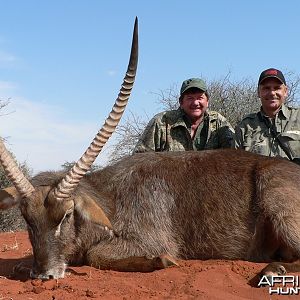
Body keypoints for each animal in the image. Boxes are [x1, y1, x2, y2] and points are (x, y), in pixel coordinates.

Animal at [0, 18, 300, 282]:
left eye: (65, 215)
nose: (45, 274)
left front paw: (160, 261)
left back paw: (272, 270)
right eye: (27, 219)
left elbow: (96, 255)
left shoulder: (149, 239)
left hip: (275, 196)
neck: (110, 196)